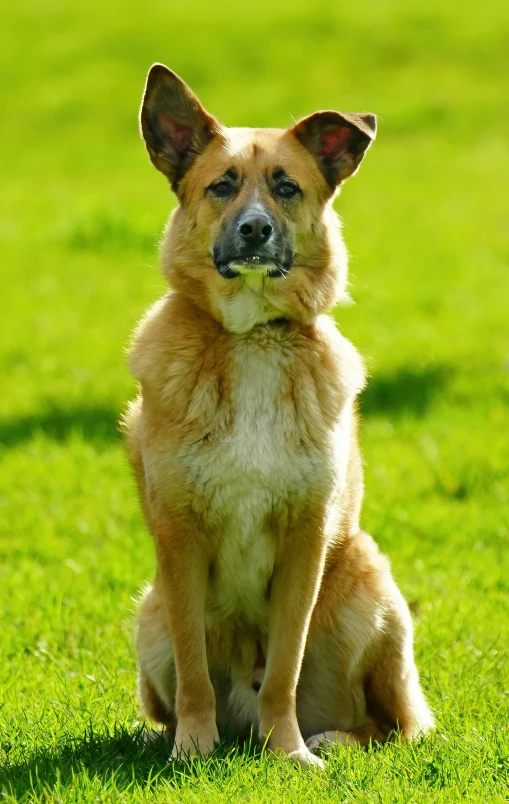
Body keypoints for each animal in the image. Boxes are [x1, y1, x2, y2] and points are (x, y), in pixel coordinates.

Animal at [122, 62, 432, 768]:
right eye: (222, 186)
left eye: (287, 187)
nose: (256, 230)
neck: (252, 336)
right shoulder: (179, 541)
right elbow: (194, 666)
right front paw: (191, 749)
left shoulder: (305, 540)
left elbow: (286, 665)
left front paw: (288, 753)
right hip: (148, 618)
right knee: (171, 692)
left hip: (371, 590)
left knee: (391, 728)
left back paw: (328, 738)